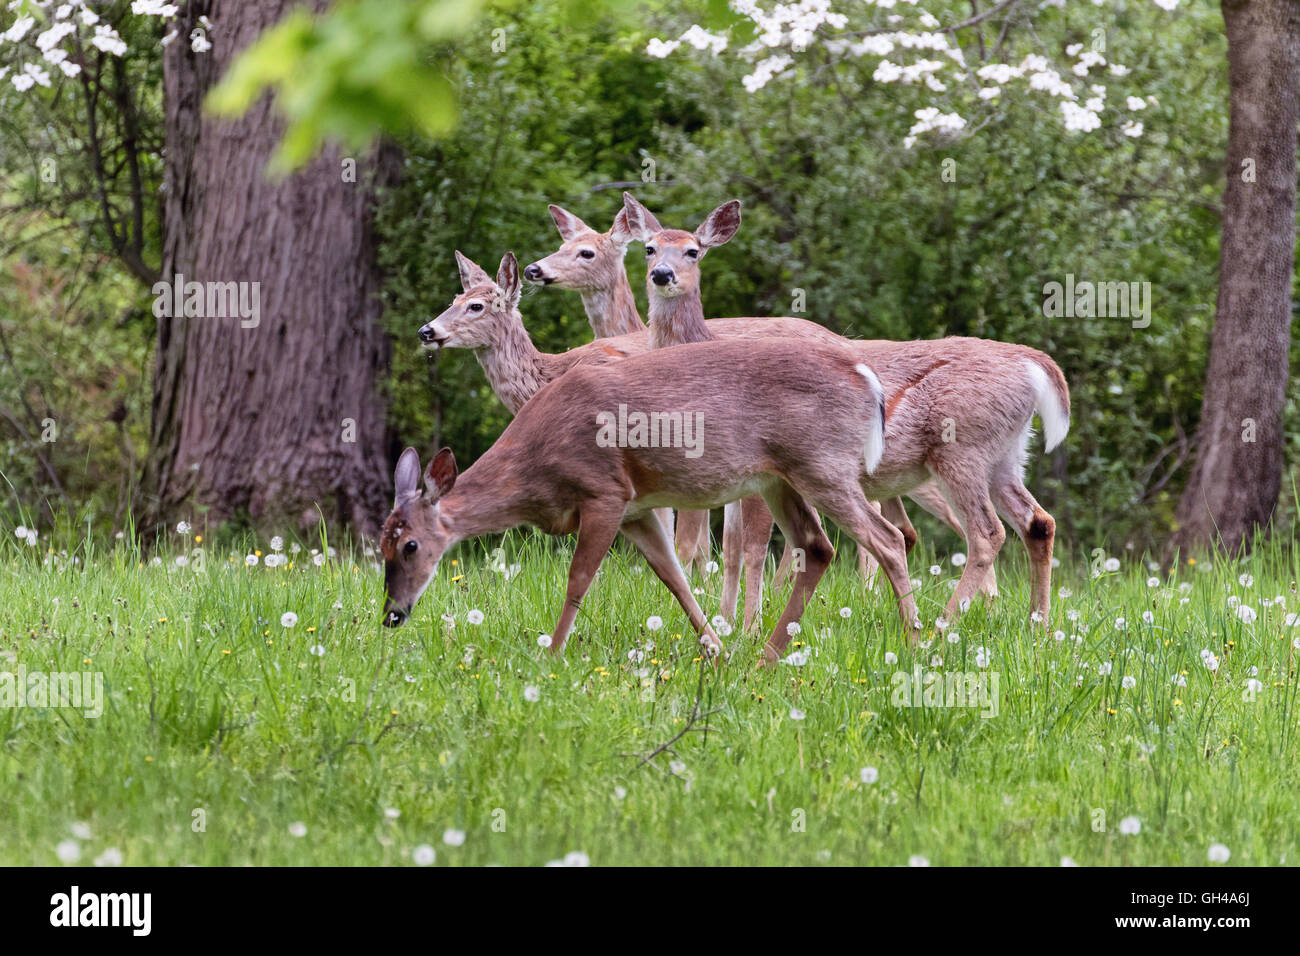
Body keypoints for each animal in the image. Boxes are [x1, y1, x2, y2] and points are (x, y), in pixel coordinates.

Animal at [380, 336, 916, 666]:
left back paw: (915, 641)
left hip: (823, 464)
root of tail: (867, 377)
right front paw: (717, 652)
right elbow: (675, 579)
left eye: (410, 545)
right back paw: (765, 656)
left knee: (888, 539)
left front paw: (551, 654)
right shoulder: (637, 509)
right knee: (818, 547)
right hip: (778, 479)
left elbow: (578, 580)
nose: (392, 614)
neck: (537, 469)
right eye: (381, 547)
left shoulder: (605, 491)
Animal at [618, 191, 1069, 632]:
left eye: (693, 251)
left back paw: (943, 624)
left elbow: (753, 547)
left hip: (961, 453)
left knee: (985, 533)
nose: (662, 275)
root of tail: (1033, 363)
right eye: (649, 248)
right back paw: (1038, 625)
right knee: (1038, 523)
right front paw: (728, 622)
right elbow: (730, 548)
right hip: (1005, 456)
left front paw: (748, 628)